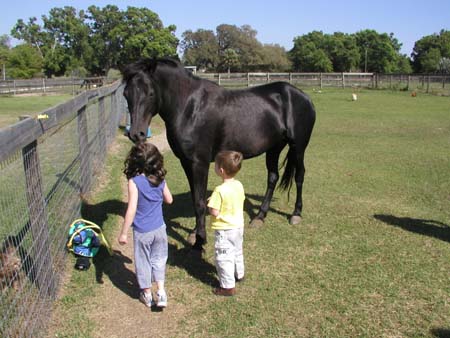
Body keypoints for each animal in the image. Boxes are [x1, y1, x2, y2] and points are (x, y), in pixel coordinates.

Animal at [121, 57, 314, 248]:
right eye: (126, 94)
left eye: (150, 93)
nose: (136, 134)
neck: (189, 107)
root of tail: (303, 97)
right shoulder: (186, 162)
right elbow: (195, 198)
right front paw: (195, 233)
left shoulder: (200, 163)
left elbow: (200, 201)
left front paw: (200, 238)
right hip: (274, 148)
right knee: (273, 177)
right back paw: (260, 217)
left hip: (298, 147)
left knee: (300, 176)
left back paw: (296, 214)